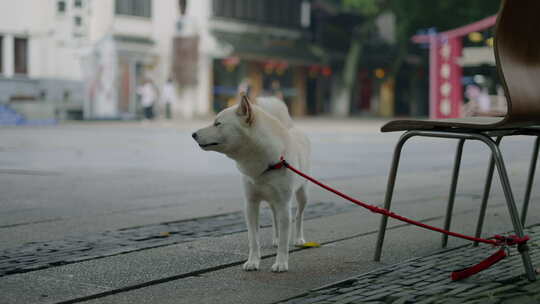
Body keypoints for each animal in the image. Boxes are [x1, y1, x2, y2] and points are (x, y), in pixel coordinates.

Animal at [192, 94, 310, 272]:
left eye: (217, 123)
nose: (193, 134)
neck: (265, 161)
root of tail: (291, 127)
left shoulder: (284, 204)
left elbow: (284, 241)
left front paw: (281, 263)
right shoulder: (251, 204)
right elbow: (253, 239)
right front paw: (253, 262)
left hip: (302, 194)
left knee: (299, 215)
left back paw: (298, 238)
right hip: (273, 202)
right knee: (275, 219)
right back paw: (275, 239)